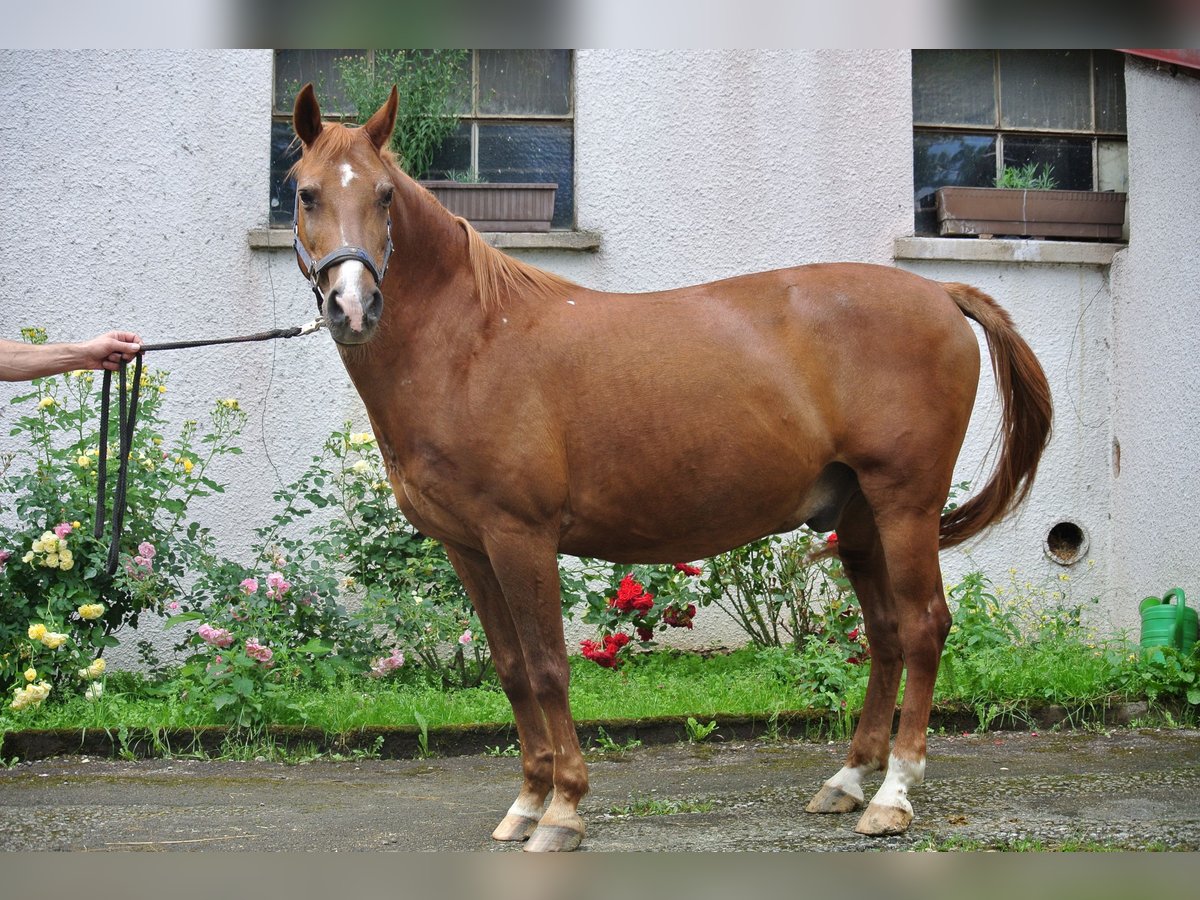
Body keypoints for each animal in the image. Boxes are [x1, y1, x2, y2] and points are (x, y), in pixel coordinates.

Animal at [290, 86, 1051, 854]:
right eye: (305, 193)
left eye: (385, 195)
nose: (353, 306)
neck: (471, 342)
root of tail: (942, 293)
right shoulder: (467, 547)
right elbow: (510, 669)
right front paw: (527, 801)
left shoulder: (520, 537)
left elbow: (547, 667)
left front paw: (563, 808)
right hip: (861, 519)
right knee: (887, 635)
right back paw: (848, 780)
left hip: (906, 504)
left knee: (924, 627)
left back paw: (894, 793)